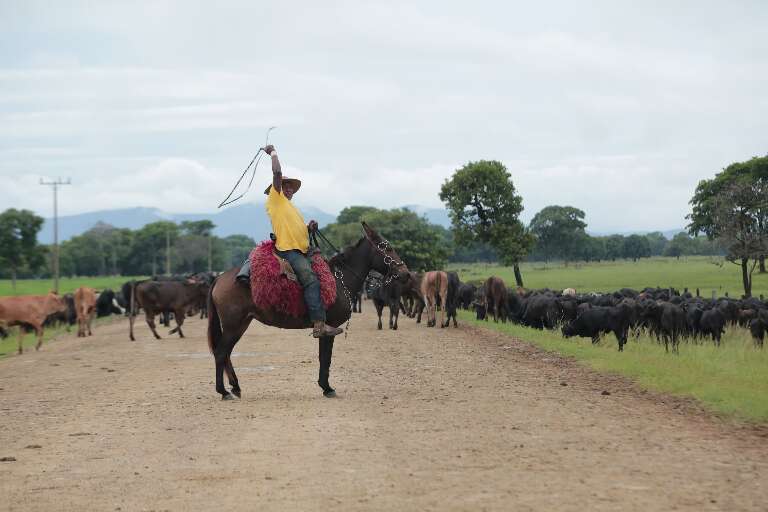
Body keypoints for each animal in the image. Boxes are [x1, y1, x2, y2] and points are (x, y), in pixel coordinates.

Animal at [204, 223, 408, 400]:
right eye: (388, 248)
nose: (405, 273)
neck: (339, 280)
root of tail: (219, 278)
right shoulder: (330, 327)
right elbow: (325, 358)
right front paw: (327, 388)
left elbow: (323, 357)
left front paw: (324, 386)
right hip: (233, 325)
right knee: (221, 353)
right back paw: (223, 391)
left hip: (241, 324)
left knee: (226, 353)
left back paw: (235, 387)